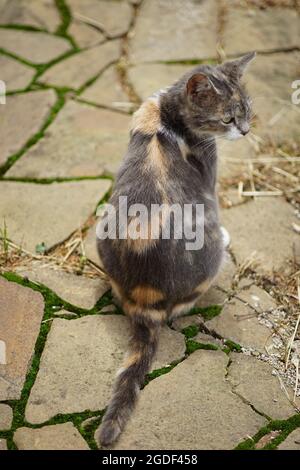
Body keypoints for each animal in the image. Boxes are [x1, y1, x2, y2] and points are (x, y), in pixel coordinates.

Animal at [95, 51, 255, 448]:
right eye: (227, 118)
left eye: (248, 110)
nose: (245, 131)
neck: (166, 115)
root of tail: (144, 297)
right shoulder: (209, 179)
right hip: (209, 256)